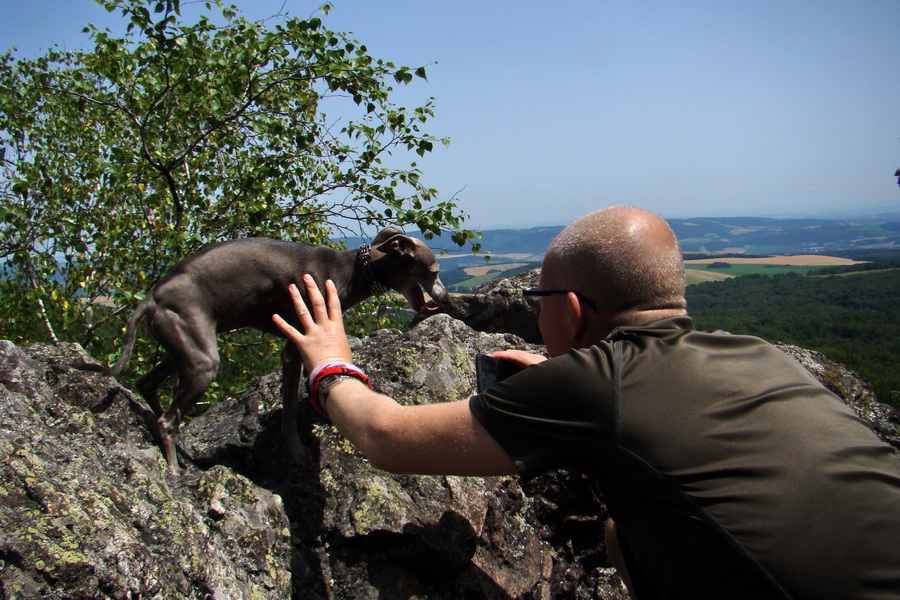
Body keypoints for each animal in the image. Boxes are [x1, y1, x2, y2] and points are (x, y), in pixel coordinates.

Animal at [81, 226, 450, 474]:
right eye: (434, 271)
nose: (445, 298)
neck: (351, 270)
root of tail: (151, 298)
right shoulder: (296, 345)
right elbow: (287, 411)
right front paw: (298, 453)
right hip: (201, 359)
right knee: (166, 421)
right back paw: (172, 468)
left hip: (183, 348)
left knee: (147, 383)